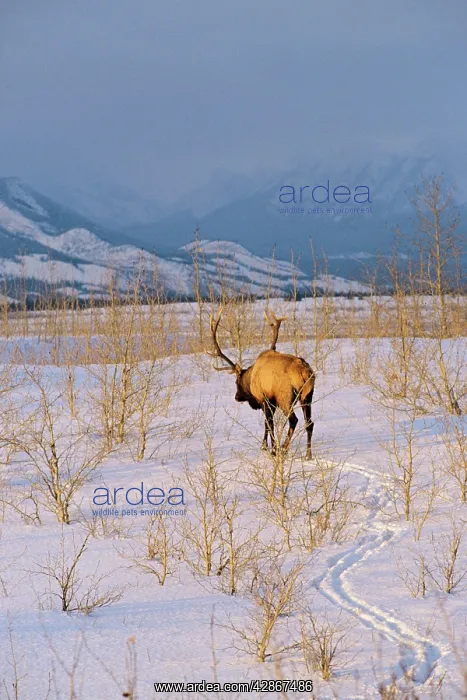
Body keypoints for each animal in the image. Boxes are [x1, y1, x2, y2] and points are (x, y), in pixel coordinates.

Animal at [207, 307, 315, 459]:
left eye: (236, 382)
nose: (236, 397)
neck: (251, 378)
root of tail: (304, 372)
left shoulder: (265, 399)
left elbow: (268, 423)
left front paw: (271, 448)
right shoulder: (271, 402)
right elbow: (267, 423)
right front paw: (266, 446)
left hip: (285, 397)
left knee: (294, 420)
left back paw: (283, 449)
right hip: (307, 396)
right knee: (309, 423)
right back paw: (308, 454)